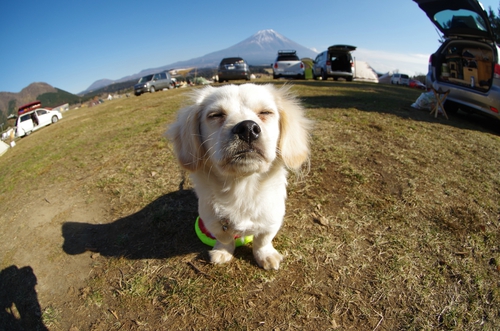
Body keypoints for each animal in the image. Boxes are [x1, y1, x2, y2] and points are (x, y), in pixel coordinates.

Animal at [167, 83, 308, 270]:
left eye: (266, 112)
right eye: (215, 115)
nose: (247, 128)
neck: (242, 187)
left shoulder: (272, 220)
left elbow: (262, 241)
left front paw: (266, 256)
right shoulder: (213, 221)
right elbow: (225, 239)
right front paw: (222, 252)